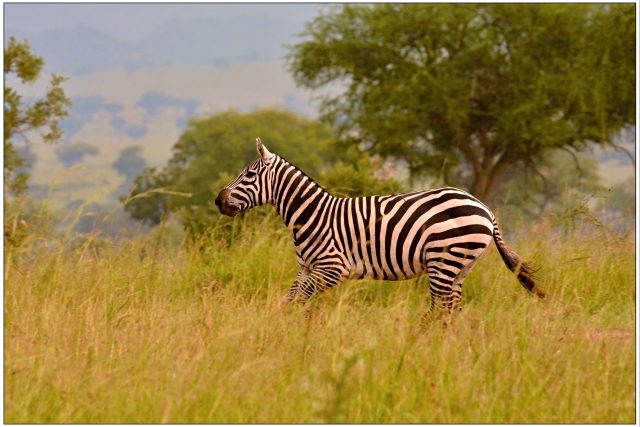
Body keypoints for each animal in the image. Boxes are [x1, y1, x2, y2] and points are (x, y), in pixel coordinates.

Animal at [216, 139, 544, 316]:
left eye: (248, 175)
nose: (218, 200)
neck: (312, 214)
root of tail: (485, 209)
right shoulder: (306, 268)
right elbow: (290, 299)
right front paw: (285, 327)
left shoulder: (333, 268)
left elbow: (298, 300)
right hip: (461, 267)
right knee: (452, 311)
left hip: (444, 261)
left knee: (440, 310)